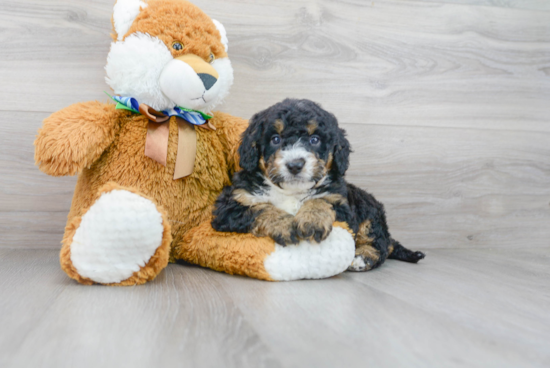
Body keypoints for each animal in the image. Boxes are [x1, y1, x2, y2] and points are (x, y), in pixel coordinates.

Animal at [212, 99, 426, 272]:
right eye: (275, 139)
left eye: (314, 140)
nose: (295, 164)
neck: (291, 191)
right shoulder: (232, 204)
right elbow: (262, 208)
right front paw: (284, 224)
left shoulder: (341, 203)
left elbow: (320, 201)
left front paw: (312, 220)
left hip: (370, 216)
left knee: (381, 245)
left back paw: (361, 258)